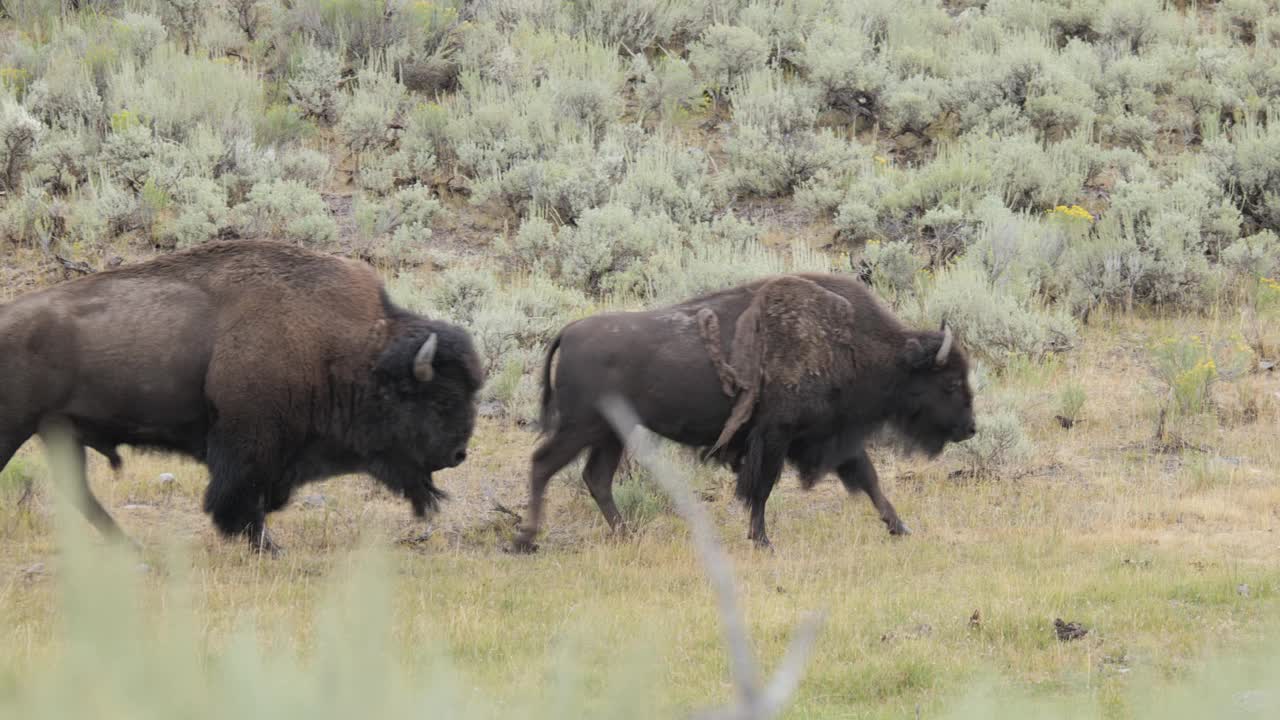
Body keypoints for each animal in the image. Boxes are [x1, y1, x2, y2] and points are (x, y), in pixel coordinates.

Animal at [0, 239, 483, 548]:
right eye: (441, 399)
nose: (458, 454)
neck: (352, 350)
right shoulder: (248, 443)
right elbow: (239, 497)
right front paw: (264, 545)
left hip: (59, 432)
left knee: (78, 492)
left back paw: (130, 547)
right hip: (17, 427)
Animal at [509, 270, 967, 548]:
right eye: (950, 382)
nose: (970, 428)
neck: (849, 341)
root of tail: (569, 330)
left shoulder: (832, 438)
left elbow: (870, 480)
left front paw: (900, 526)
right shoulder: (776, 437)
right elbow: (761, 489)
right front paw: (761, 540)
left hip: (610, 435)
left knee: (596, 478)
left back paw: (626, 535)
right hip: (581, 428)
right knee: (543, 464)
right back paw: (527, 539)